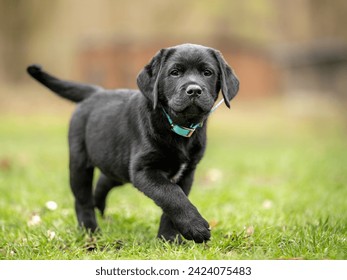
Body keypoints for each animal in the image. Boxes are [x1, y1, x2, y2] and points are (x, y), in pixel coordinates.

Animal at [27, 43, 239, 243]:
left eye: (207, 73)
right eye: (175, 72)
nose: (194, 90)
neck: (176, 126)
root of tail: (95, 92)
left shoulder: (186, 173)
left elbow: (174, 202)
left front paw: (169, 239)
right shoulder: (143, 169)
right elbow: (172, 195)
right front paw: (196, 227)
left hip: (116, 165)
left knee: (102, 183)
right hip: (79, 162)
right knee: (82, 199)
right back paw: (90, 229)